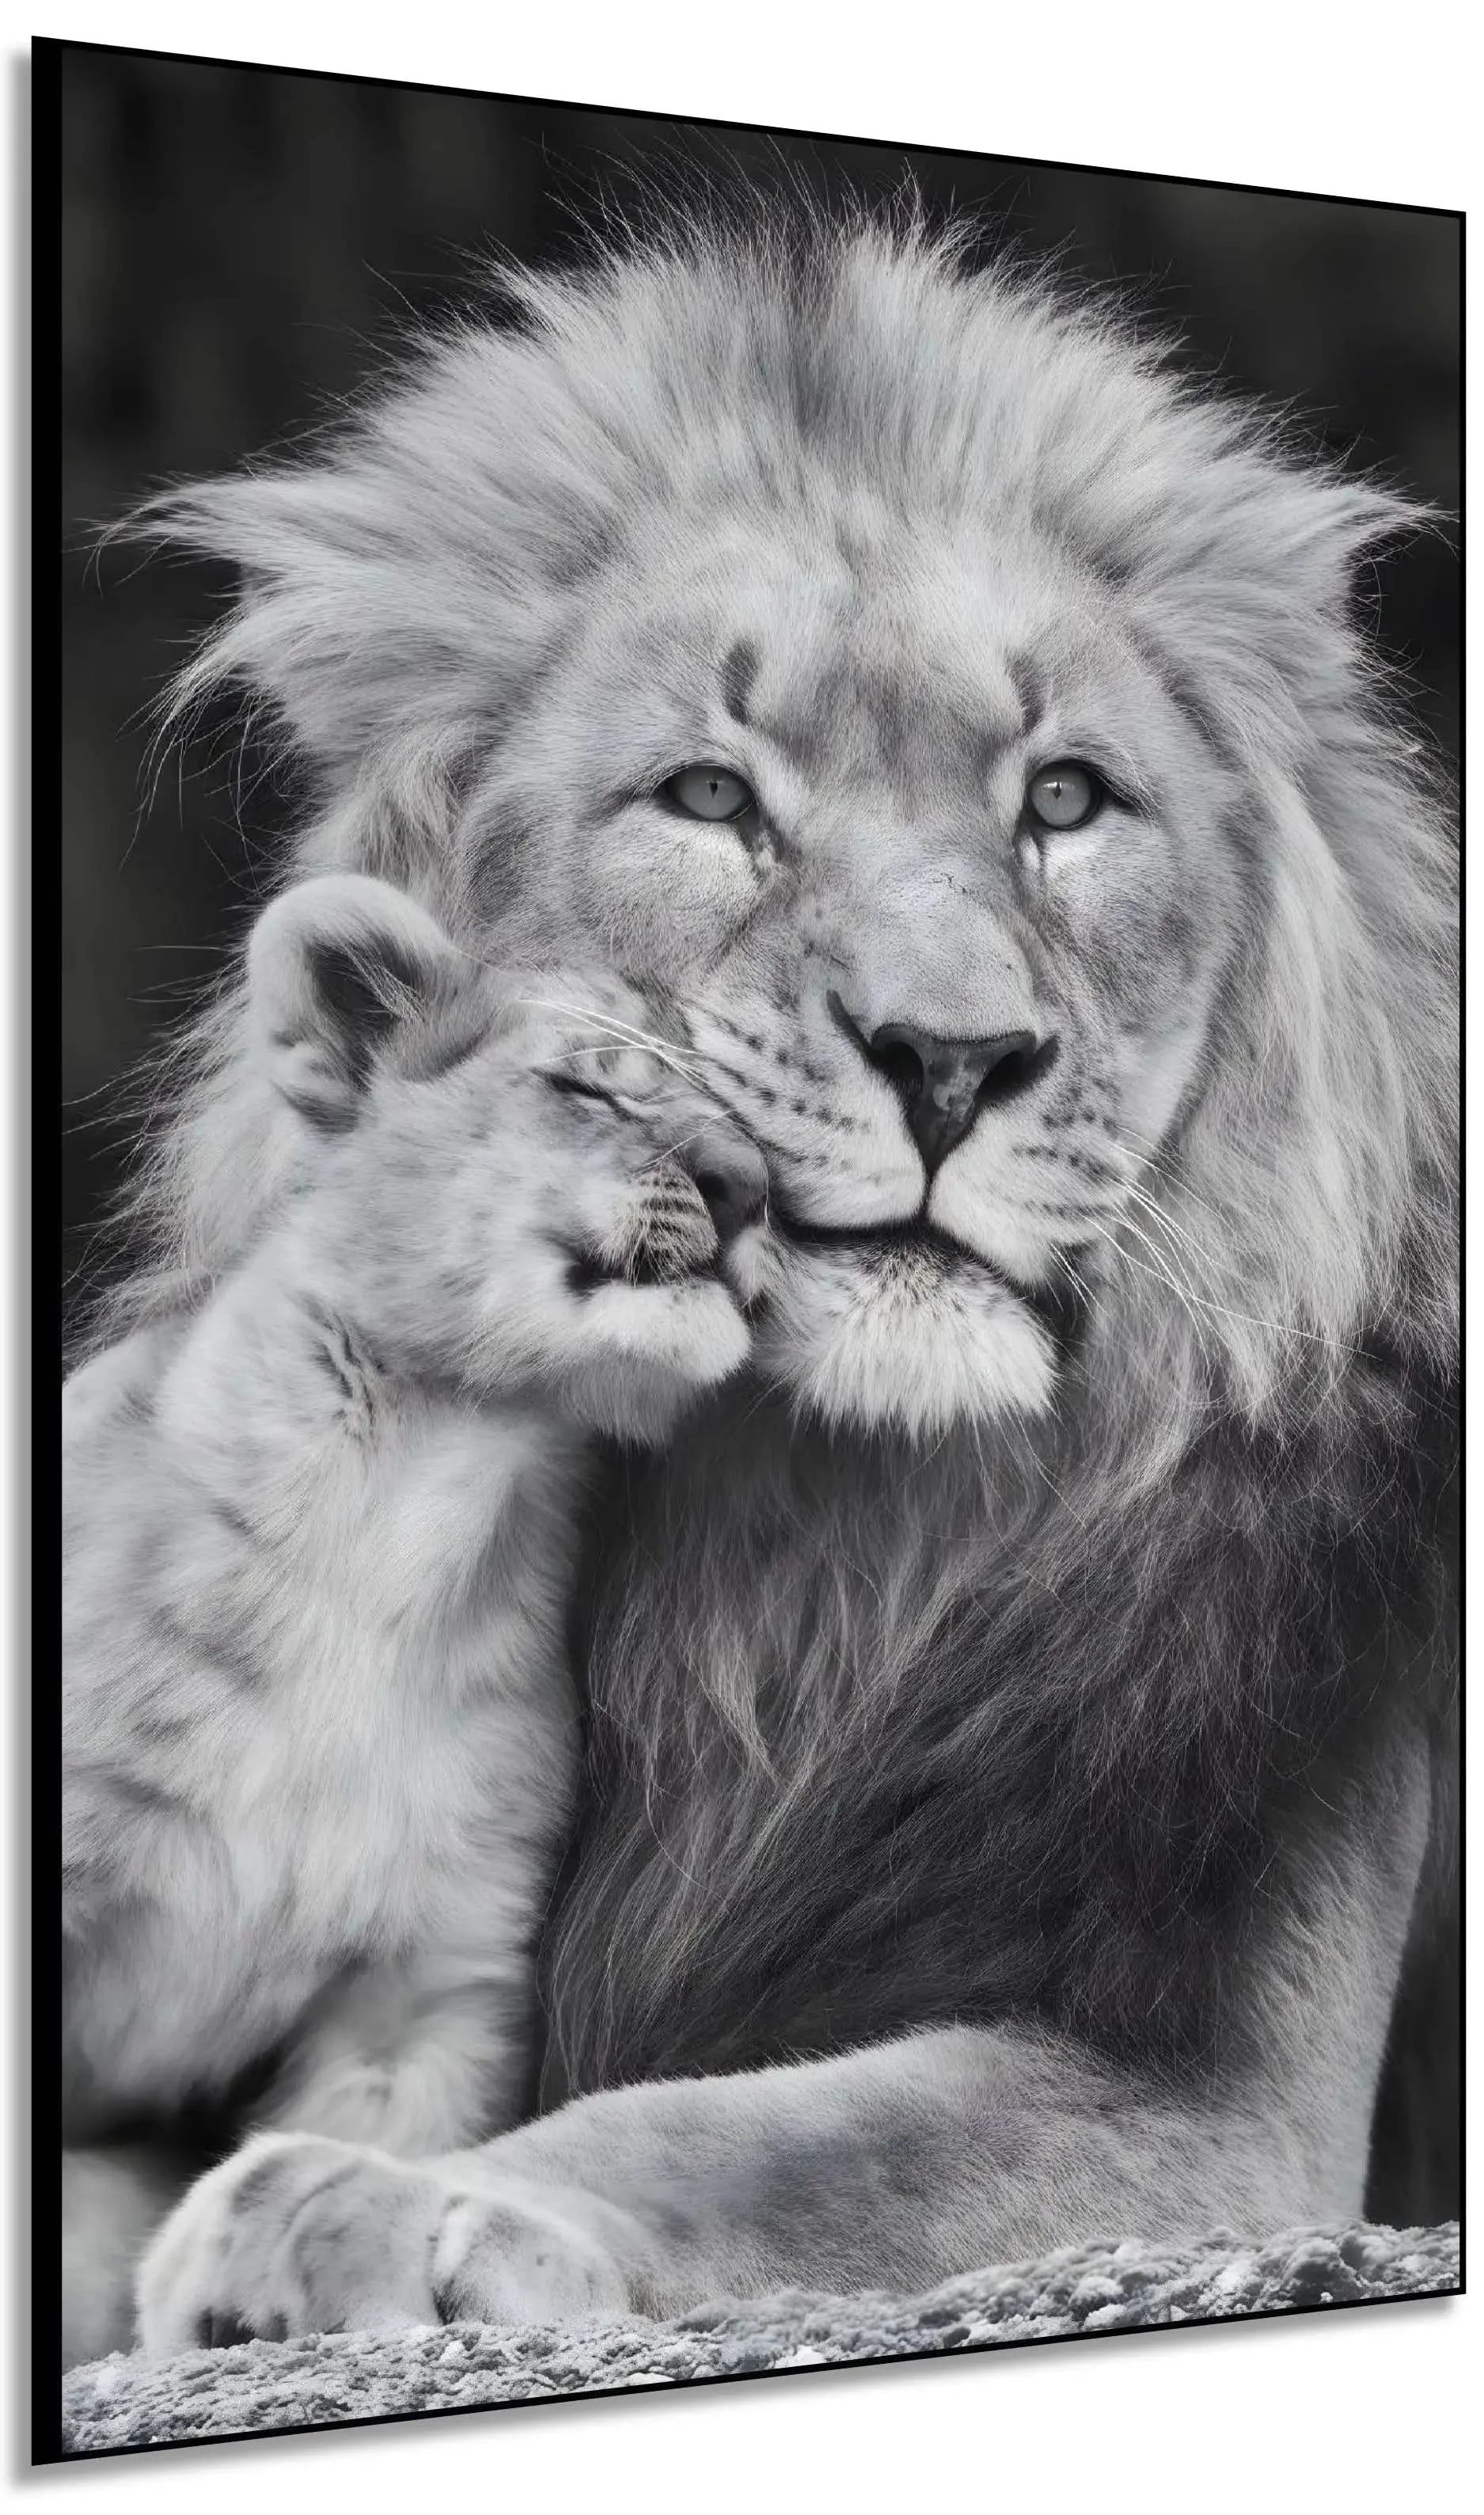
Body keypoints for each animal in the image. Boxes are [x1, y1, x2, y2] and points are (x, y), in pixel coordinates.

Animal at [67, 199, 1457, 2365]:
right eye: (710, 797)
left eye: (1063, 798)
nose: (953, 1059)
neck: (802, 1556)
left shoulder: (1231, 2103)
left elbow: (753, 2133)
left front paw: (380, 2202)